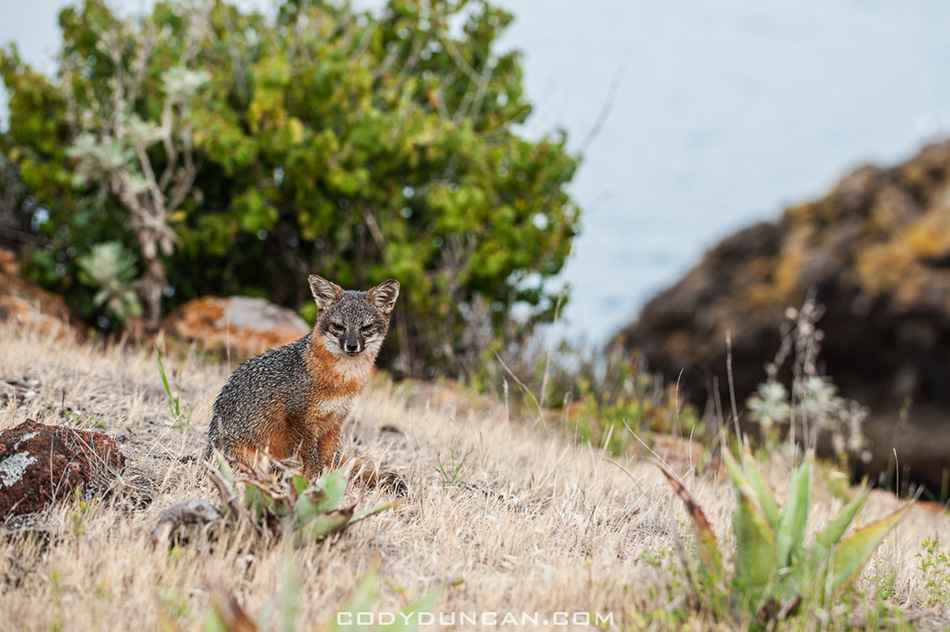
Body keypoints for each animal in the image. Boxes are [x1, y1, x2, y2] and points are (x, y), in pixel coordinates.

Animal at [205, 274, 401, 489]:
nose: (351, 346)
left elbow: (330, 463)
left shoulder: (335, 422)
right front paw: (314, 483)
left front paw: (328, 485)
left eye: (366, 328)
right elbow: (312, 459)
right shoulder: (299, 418)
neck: (342, 382)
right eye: (338, 326)